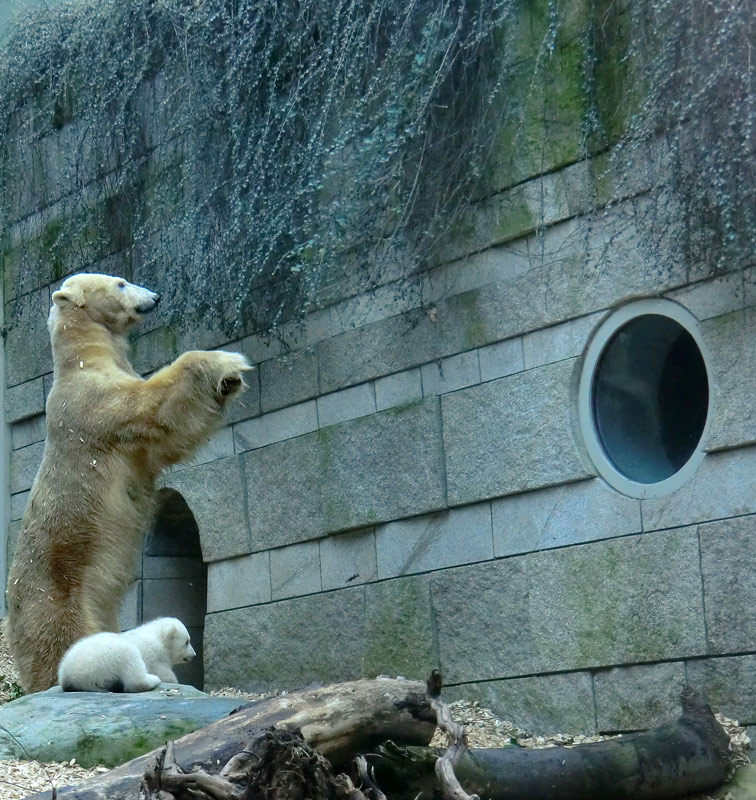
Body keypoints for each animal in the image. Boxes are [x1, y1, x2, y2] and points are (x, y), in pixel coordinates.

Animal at [58, 616, 196, 692]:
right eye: (187, 642)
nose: (194, 655)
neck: (158, 637)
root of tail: (68, 677)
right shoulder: (155, 656)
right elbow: (167, 676)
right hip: (106, 658)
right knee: (133, 672)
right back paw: (153, 680)